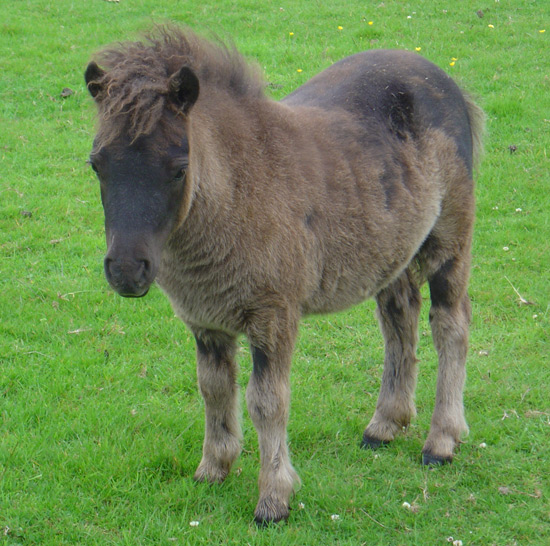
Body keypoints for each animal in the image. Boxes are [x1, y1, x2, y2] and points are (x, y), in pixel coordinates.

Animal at [84, 25, 486, 524]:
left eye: (178, 169)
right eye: (96, 164)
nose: (125, 270)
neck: (238, 192)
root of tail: (447, 81)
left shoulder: (273, 315)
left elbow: (266, 402)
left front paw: (274, 498)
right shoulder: (206, 319)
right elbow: (214, 389)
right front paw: (213, 469)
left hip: (449, 241)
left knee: (451, 326)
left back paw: (441, 440)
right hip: (391, 250)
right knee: (400, 319)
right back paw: (385, 425)